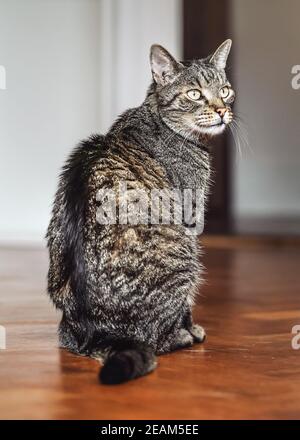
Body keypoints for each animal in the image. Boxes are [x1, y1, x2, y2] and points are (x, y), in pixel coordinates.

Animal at [46, 41, 234, 384]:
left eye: (225, 91)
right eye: (195, 94)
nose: (221, 110)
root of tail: (97, 332)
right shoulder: (190, 216)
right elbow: (186, 306)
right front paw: (191, 327)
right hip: (185, 254)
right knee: (156, 337)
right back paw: (181, 335)